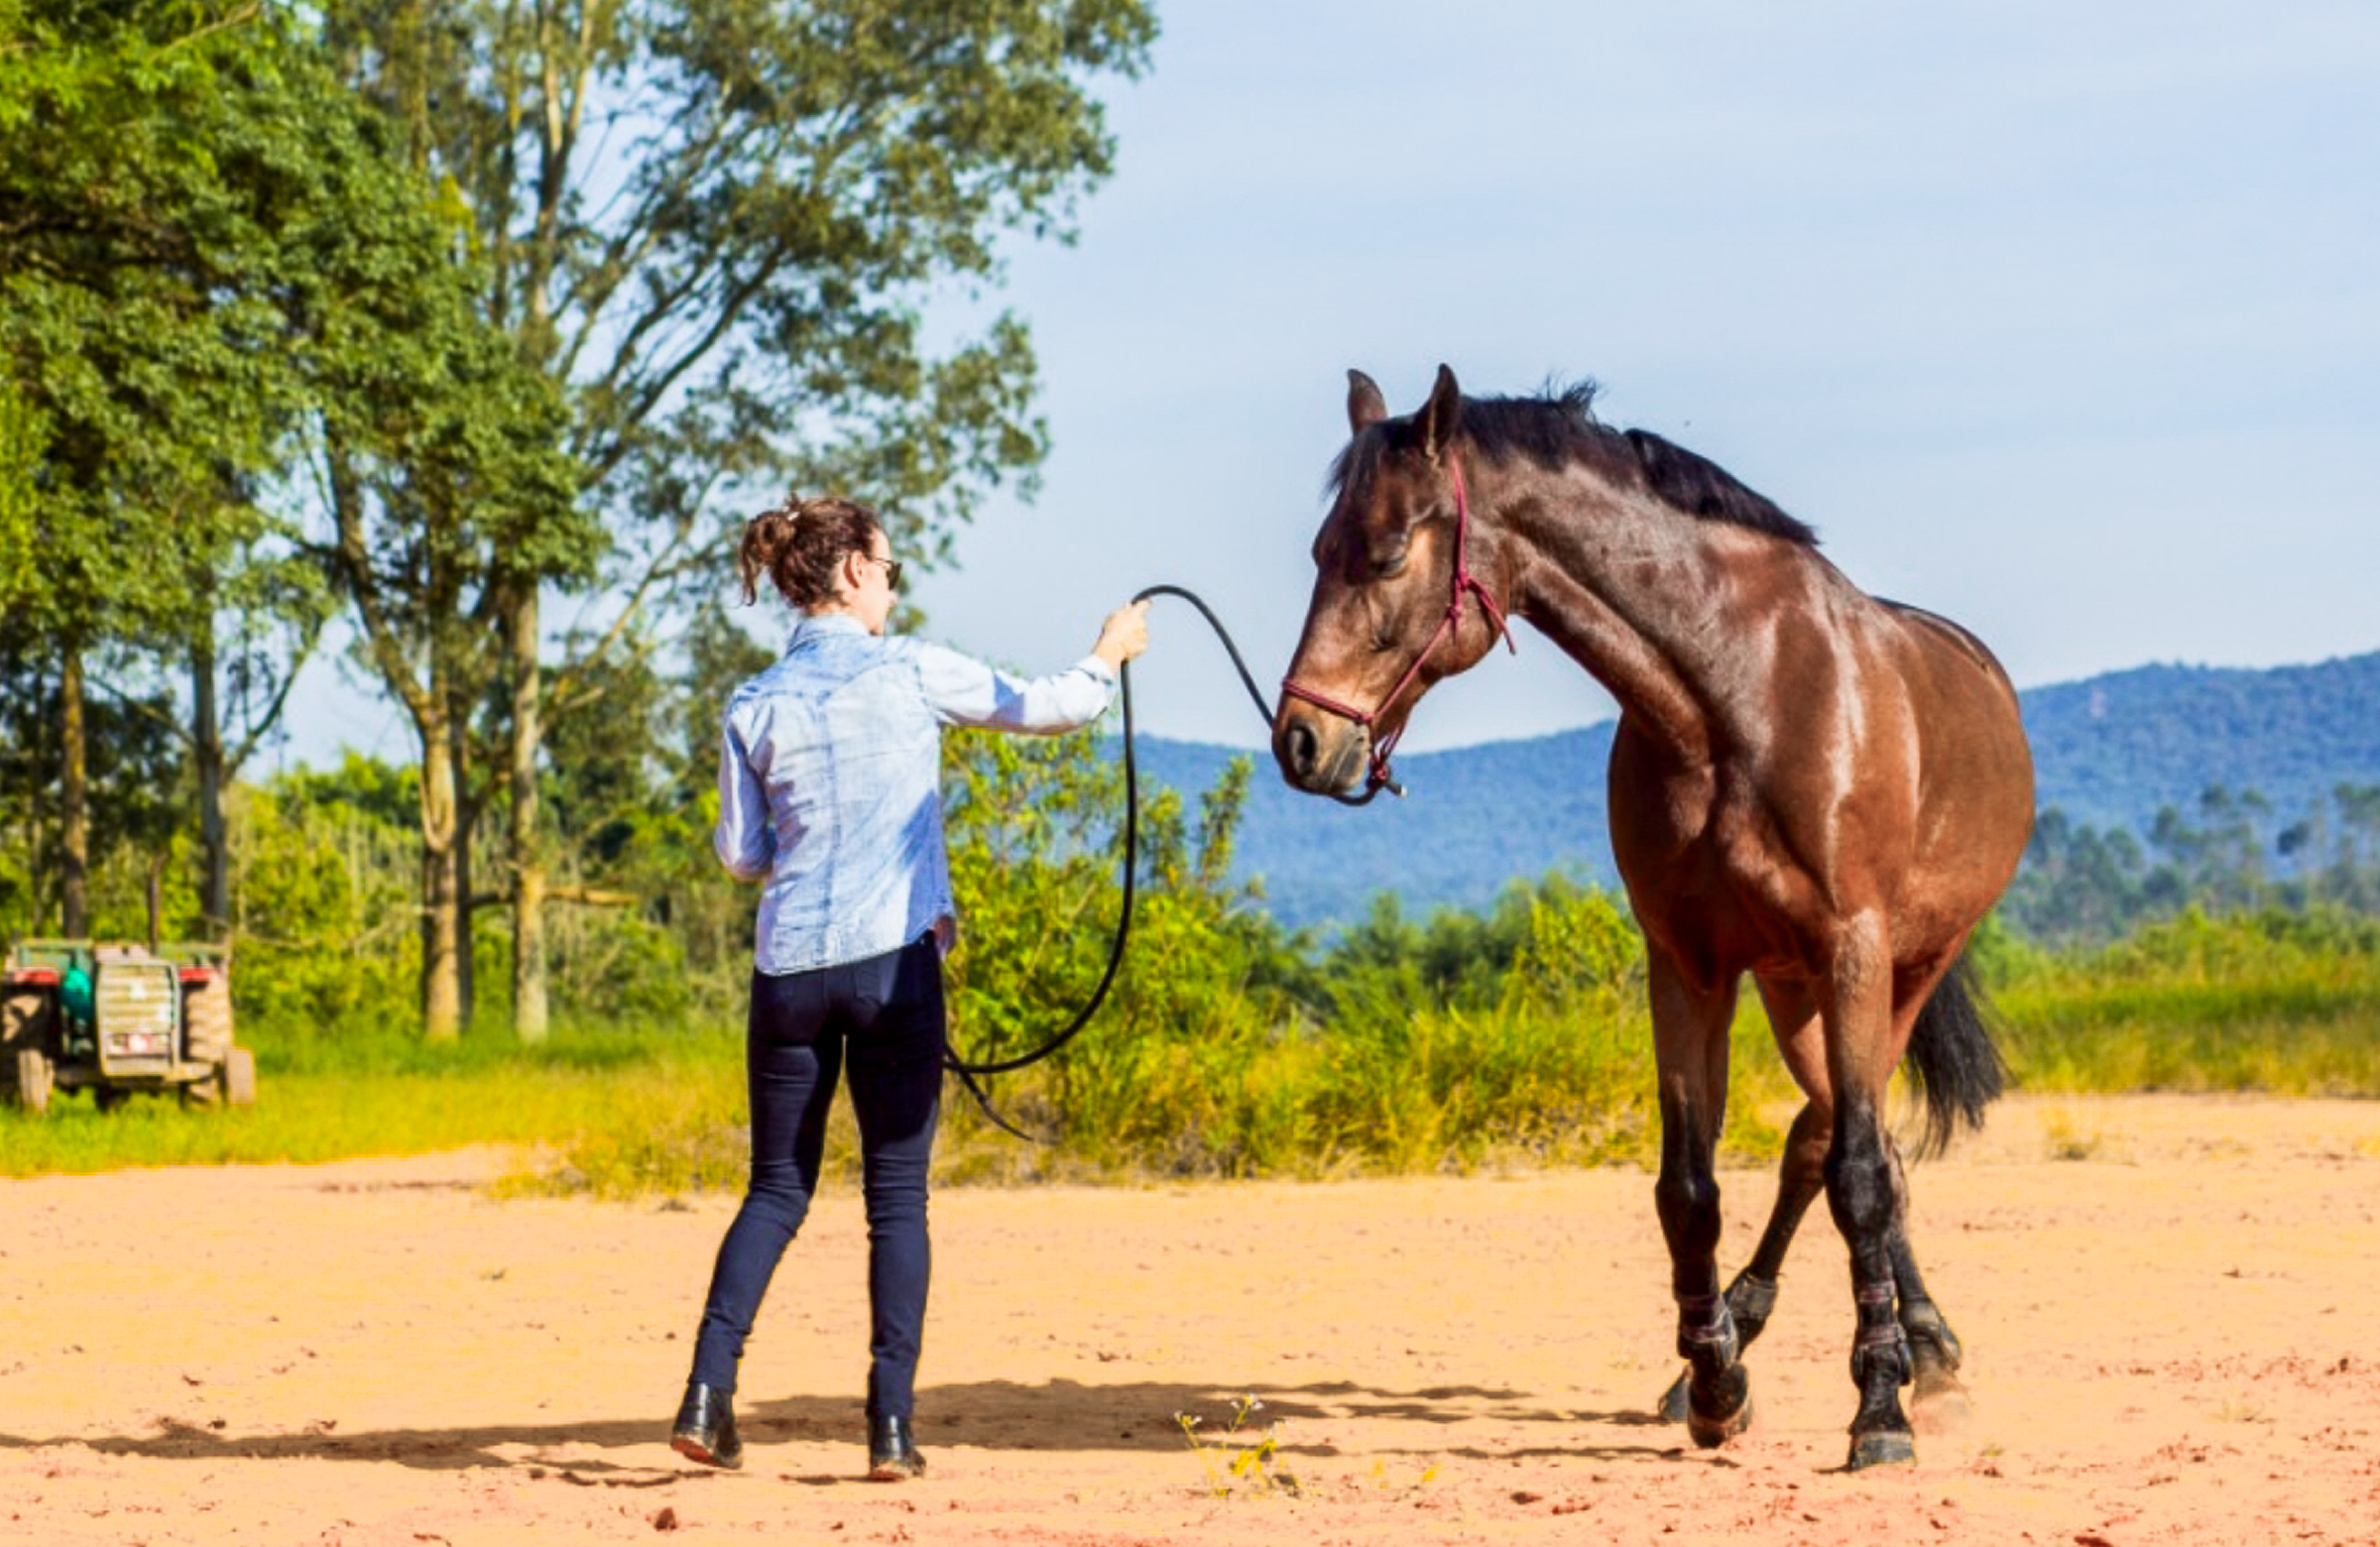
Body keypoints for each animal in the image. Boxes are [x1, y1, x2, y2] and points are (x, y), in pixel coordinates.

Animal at [1275, 366, 2037, 1466]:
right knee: (1841, 1137)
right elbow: (1690, 1188)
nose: (1300, 740)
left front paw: (1877, 1413)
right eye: (1318, 552)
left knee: (1846, 1146)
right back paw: (1836, 1346)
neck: (1736, 699)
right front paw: (1716, 1381)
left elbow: (1852, 1176)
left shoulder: (1851, 951)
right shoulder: (1687, 964)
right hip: (1793, 992)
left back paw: (1908, 1361)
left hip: (1898, 974)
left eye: (1384, 552)